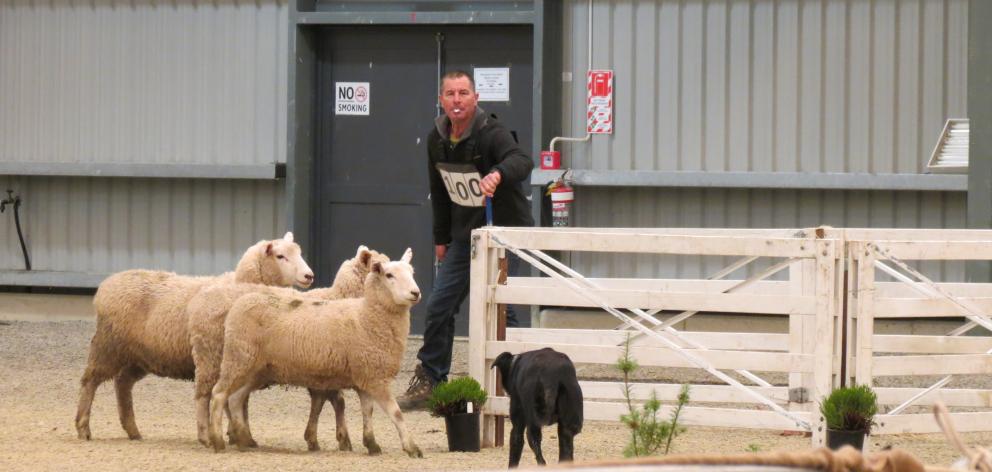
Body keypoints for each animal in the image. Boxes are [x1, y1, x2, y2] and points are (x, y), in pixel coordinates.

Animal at [73, 232, 312, 442]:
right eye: (280, 256)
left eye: (299, 252)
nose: (309, 275)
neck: (237, 283)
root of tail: (106, 285)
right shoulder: (215, 355)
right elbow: (216, 396)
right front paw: (217, 434)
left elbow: (236, 399)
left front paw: (235, 433)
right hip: (108, 345)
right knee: (90, 381)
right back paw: (83, 427)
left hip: (140, 356)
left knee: (122, 383)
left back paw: (132, 430)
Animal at [207, 247, 424, 458]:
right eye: (389, 275)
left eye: (412, 272)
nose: (416, 292)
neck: (367, 315)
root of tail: (241, 301)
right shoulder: (376, 377)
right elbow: (396, 413)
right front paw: (412, 448)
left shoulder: (367, 375)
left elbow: (367, 411)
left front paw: (371, 444)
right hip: (238, 359)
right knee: (218, 394)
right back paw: (218, 440)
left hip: (257, 369)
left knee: (235, 398)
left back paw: (244, 440)